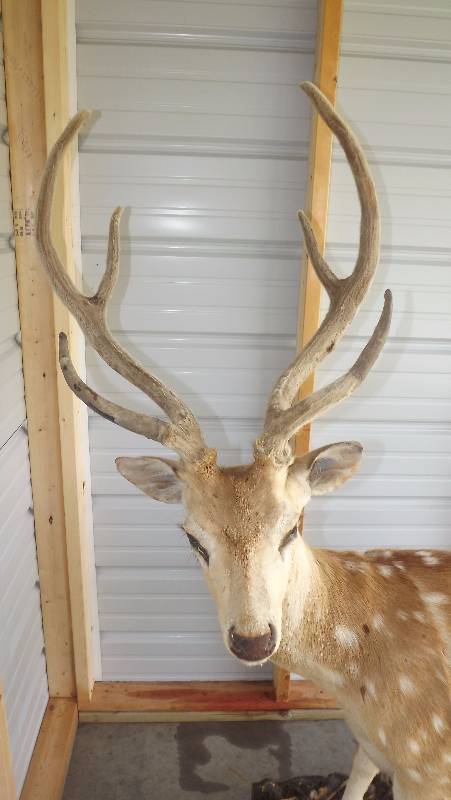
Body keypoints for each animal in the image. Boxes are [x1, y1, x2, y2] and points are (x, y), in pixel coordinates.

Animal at [35, 82, 451, 800]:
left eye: (293, 526)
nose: (253, 641)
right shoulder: (375, 750)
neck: (366, 684)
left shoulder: (428, 761)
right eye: (192, 538)